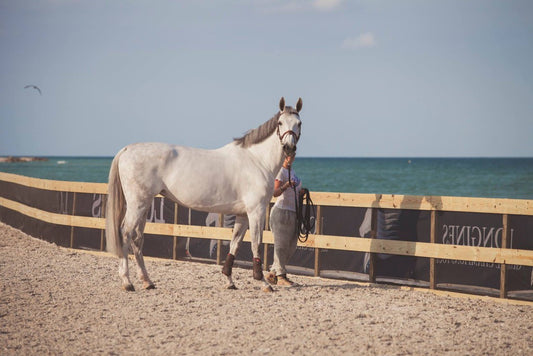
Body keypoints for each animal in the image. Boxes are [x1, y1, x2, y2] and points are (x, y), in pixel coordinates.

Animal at [106, 96, 302, 292]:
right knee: (126, 233)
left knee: (137, 238)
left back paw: (147, 281)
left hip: (144, 205)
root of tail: (127, 149)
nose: (289, 147)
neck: (256, 160)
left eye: (299, 123)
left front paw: (229, 280)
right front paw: (263, 282)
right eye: (280, 122)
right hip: (137, 204)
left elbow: (235, 244)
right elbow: (256, 243)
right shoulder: (256, 211)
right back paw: (127, 282)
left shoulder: (243, 214)